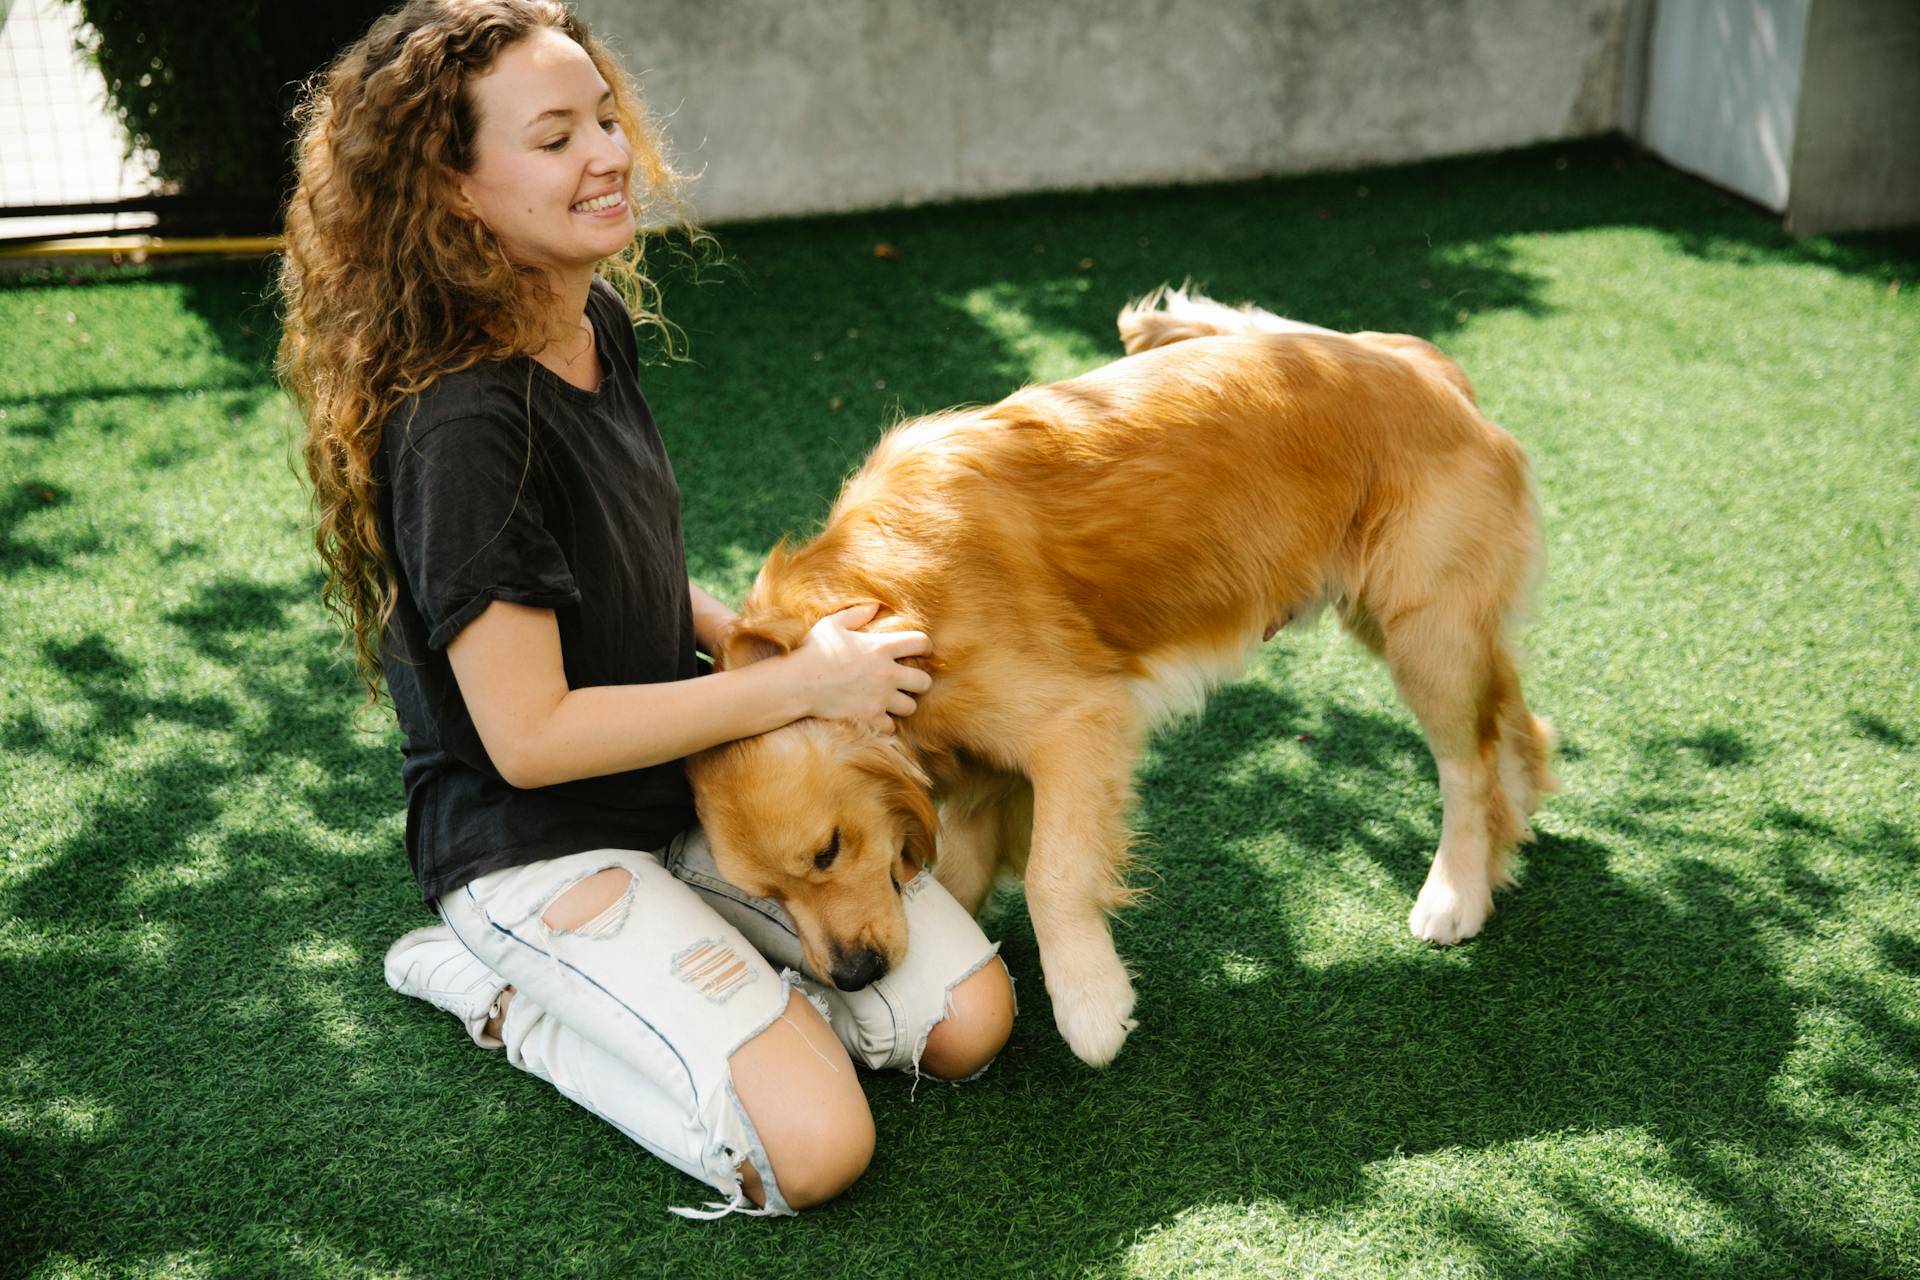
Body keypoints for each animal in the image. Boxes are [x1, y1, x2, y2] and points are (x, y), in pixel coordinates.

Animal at [691, 285, 1559, 1066]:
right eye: (765, 896)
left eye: (828, 851)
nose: (852, 975)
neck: (881, 604)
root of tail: (1423, 365)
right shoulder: (980, 775)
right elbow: (967, 876)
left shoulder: (1077, 722)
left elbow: (1053, 873)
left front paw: (1090, 1004)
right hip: (1412, 622)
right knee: (1511, 717)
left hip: (1423, 629)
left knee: (1466, 763)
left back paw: (1456, 891)